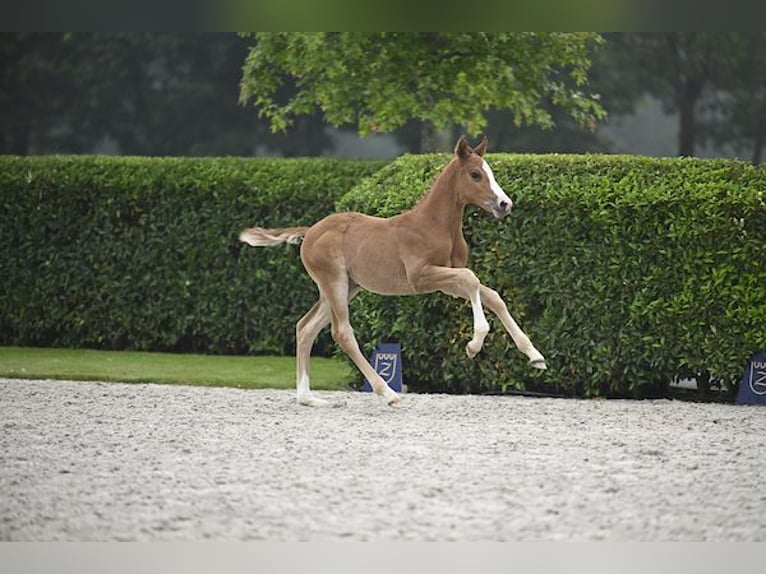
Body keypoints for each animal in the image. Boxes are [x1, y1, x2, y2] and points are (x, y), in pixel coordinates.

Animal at [240, 138, 544, 410]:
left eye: (489, 172)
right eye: (475, 174)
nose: (505, 204)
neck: (434, 225)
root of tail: (310, 231)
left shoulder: (446, 281)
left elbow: (490, 294)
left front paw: (535, 356)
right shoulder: (421, 277)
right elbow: (472, 278)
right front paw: (474, 344)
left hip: (346, 287)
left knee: (306, 327)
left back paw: (309, 399)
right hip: (334, 282)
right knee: (342, 333)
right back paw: (388, 393)